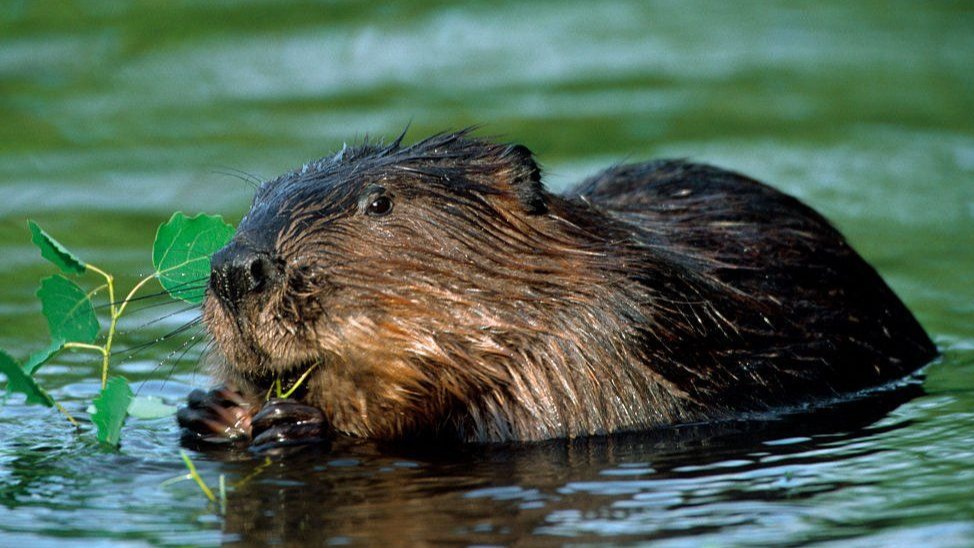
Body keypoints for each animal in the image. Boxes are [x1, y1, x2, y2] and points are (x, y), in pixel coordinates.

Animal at [178, 130, 936, 447]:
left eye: (380, 202)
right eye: (260, 198)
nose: (237, 270)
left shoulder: (608, 341)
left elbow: (520, 425)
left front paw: (293, 420)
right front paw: (215, 411)